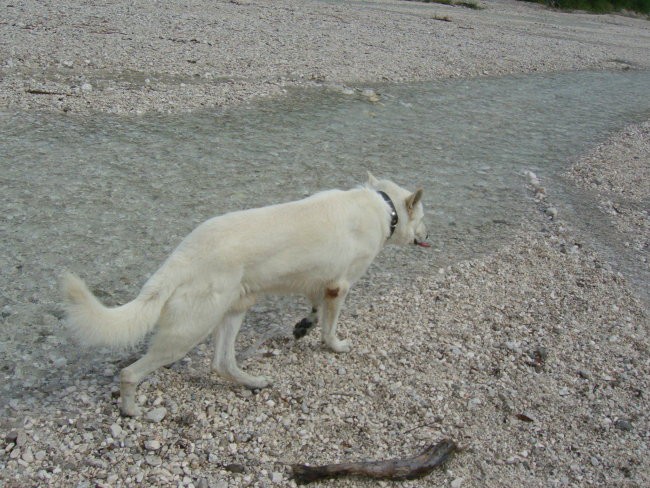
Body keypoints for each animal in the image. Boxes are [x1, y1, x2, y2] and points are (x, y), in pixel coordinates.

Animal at [60, 173, 426, 418]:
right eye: (424, 218)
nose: (429, 234)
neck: (384, 207)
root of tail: (182, 257)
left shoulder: (320, 285)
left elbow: (314, 309)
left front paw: (304, 326)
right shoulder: (340, 286)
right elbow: (330, 326)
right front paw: (335, 345)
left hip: (232, 311)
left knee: (221, 363)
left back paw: (253, 382)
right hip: (188, 332)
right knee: (131, 372)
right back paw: (131, 409)